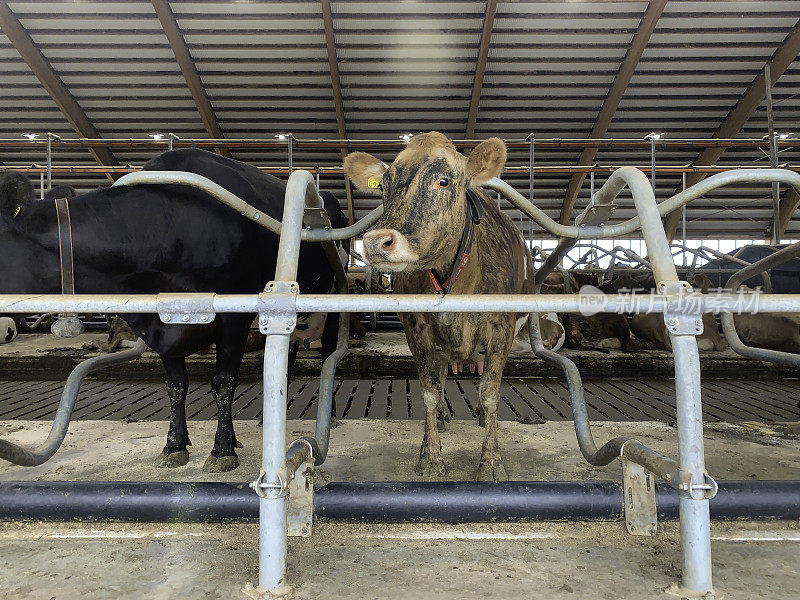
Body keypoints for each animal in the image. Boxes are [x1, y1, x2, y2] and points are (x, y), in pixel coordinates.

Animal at [0, 149, 350, 468]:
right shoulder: (162, 322)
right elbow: (176, 386)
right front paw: (174, 446)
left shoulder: (233, 318)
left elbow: (223, 382)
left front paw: (222, 450)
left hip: (330, 295)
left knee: (326, 351)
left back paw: (330, 414)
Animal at [346, 132, 536, 482]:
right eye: (383, 186)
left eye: (444, 181)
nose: (377, 242)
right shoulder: (416, 327)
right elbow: (429, 391)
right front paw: (431, 456)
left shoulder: (502, 325)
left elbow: (490, 392)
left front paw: (491, 461)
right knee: (441, 373)